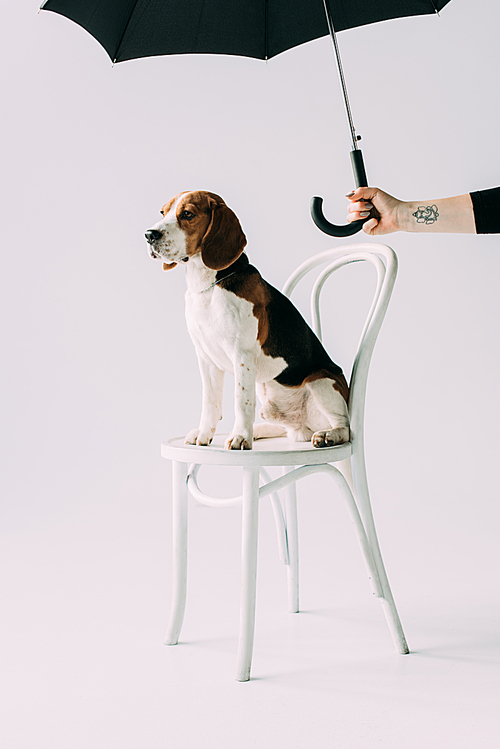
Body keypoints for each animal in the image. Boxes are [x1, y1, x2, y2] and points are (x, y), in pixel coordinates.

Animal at [145, 191, 348, 450]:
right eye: (163, 212)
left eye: (187, 214)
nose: (149, 235)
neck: (209, 285)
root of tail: (302, 428)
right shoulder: (206, 358)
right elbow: (210, 402)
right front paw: (205, 434)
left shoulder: (241, 354)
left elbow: (241, 401)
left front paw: (241, 437)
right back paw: (260, 431)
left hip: (321, 381)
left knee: (345, 426)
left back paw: (328, 435)